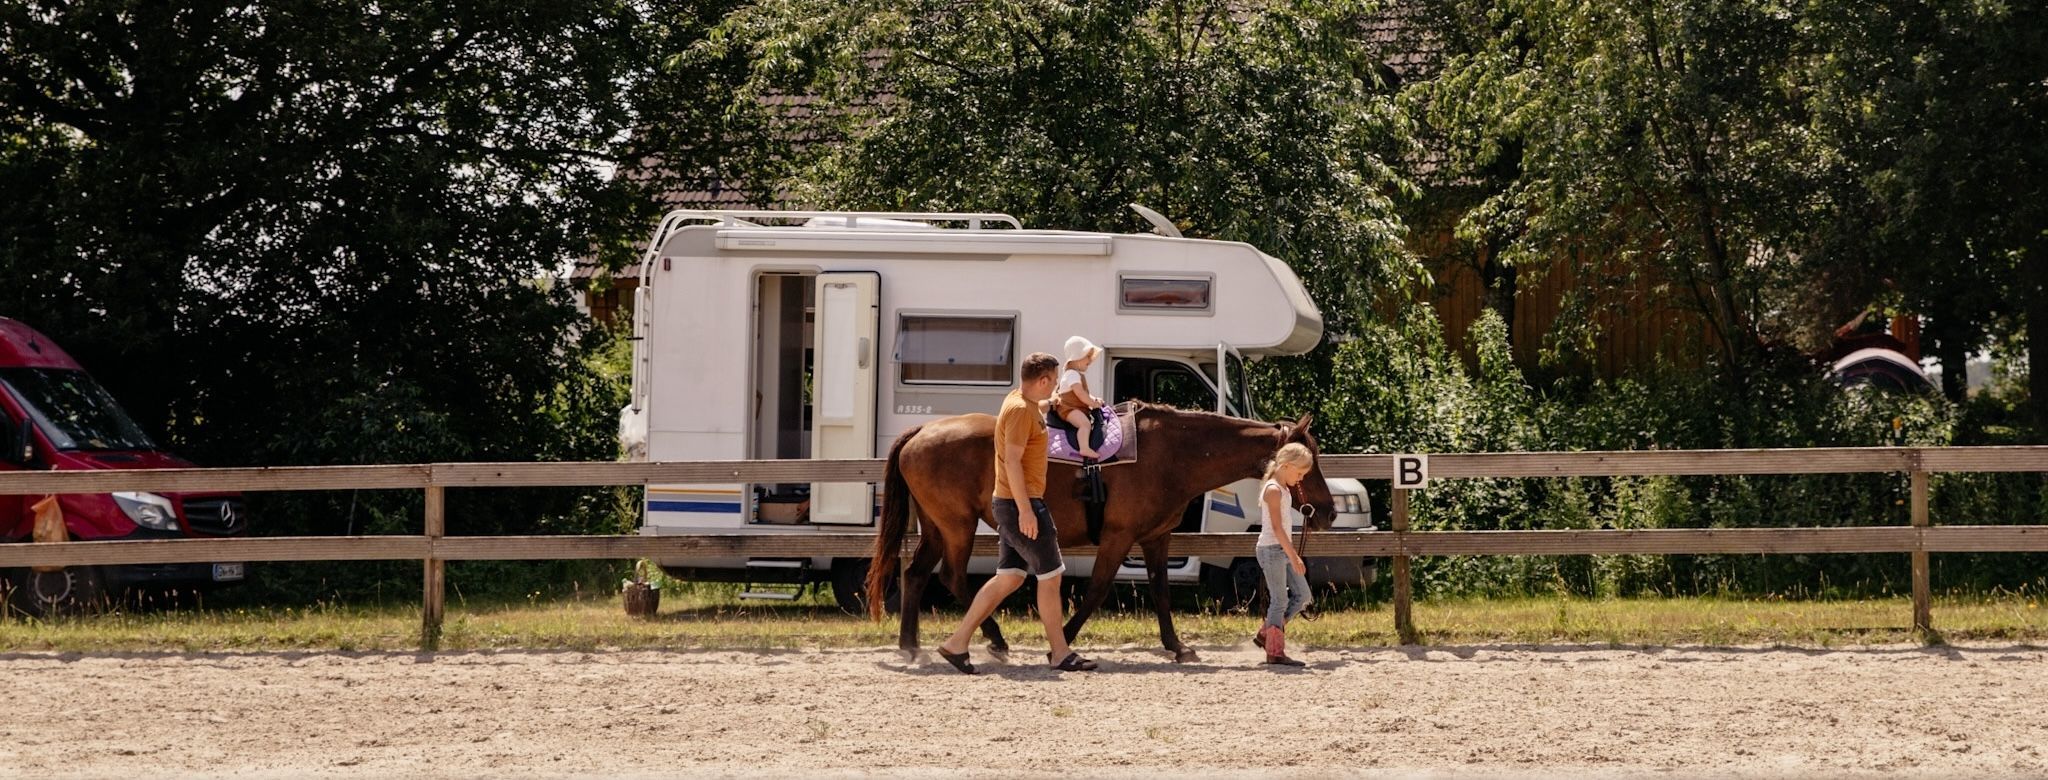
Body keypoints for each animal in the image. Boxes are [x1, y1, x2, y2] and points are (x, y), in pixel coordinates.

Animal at [860, 401, 1327, 663]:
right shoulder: (1119, 536)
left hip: (937, 526)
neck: (1172, 454)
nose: (1327, 510)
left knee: (916, 574)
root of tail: (923, 431)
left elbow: (1160, 592)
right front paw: (1060, 642)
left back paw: (911, 646)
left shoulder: (1155, 538)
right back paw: (993, 641)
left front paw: (1177, 647)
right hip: (957, 526)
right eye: (1310, 462)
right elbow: (1098, 589)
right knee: (952, 577)